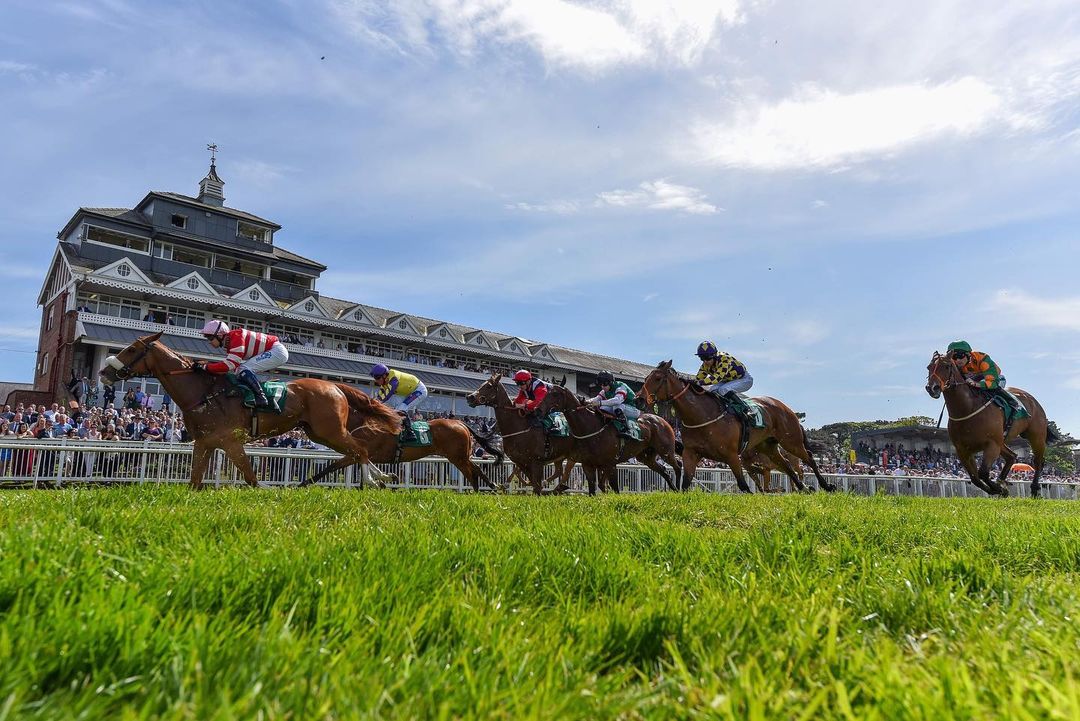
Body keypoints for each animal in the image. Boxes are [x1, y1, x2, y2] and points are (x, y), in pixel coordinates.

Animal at [99, 332, 501, 491]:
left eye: (132, 348)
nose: (104, 372)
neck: (204, 392)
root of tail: (334, 385)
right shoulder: (205, 442)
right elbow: (196, 481)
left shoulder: (230, 441)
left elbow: (251, 477)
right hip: (320, 432)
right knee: (356, 452)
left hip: (332, 430)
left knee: (360, 452)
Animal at [535, 384, 683, 496]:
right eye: (546, 393)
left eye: (555, 394)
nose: (538, 410)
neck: (591, 427)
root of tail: (662, 421)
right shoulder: (588, 464)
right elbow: (593, 489)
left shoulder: (610, 463)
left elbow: (614, 487)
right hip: (646, 456)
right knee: (664, 470)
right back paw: (674, 489)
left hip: (665, 451)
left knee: (678, 465)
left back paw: (680, 489)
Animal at [639, 360, 834, 493]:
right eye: (647, 377)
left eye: (657, 378)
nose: (640, 398)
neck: (702, 415)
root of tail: (786, 408)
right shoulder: (691, 453)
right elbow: (686, 484)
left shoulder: (732, 455)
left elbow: (744, 486)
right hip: (768, 446)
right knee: (786, 465)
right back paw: (804, 488)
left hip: (791, 440)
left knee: (809, 458)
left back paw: (826, 486)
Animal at [925, 351, 1058, 498]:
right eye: (929, 367)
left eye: (947, 366)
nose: (932, 388)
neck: (967, 409)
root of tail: (1033, 400)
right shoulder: (963, 450)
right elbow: (975, 478)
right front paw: (998, 489)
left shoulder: (992, 445)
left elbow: (983, 473)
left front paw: (998, 489)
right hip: (1002, 441)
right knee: (1012, 456)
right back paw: (1002, 481)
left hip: (1036, 436)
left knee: (1038, 461)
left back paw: (1034, 489)